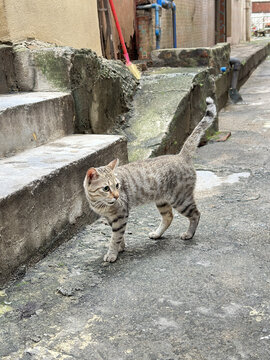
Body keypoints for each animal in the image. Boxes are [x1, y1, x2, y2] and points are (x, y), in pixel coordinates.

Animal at [83, 97, 216, 262]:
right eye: (106, 188)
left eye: (117, 185)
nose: (117, 196)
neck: (100, 203)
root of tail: (180, 156)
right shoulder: (111, 218)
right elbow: (119, 236)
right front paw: (121, 248)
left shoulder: (120, 215)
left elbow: (115, 237)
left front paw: (112, 253)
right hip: (162, 200)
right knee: (169, 217)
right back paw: (157, 234)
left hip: (181, 200)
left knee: (196, 214)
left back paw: (189, 234)